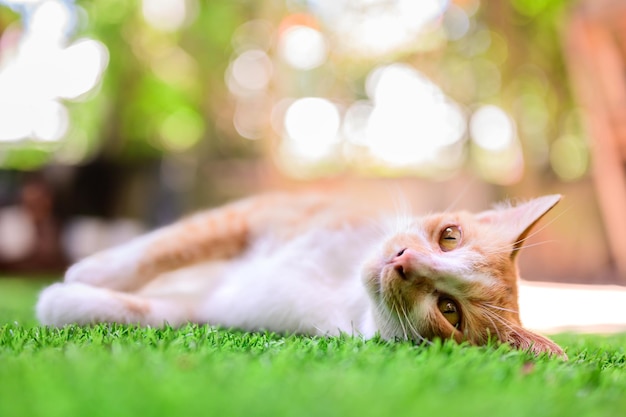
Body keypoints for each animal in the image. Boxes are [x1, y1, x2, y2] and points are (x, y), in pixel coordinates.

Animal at [35, 192, 564, 358]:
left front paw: (67, 299)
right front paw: (92, 269)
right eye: (450, 237)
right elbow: (173, 243)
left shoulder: (229, 305)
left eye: (449, 311)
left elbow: (161, 312)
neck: (342, 292)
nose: (402, 260)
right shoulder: (264, 212)